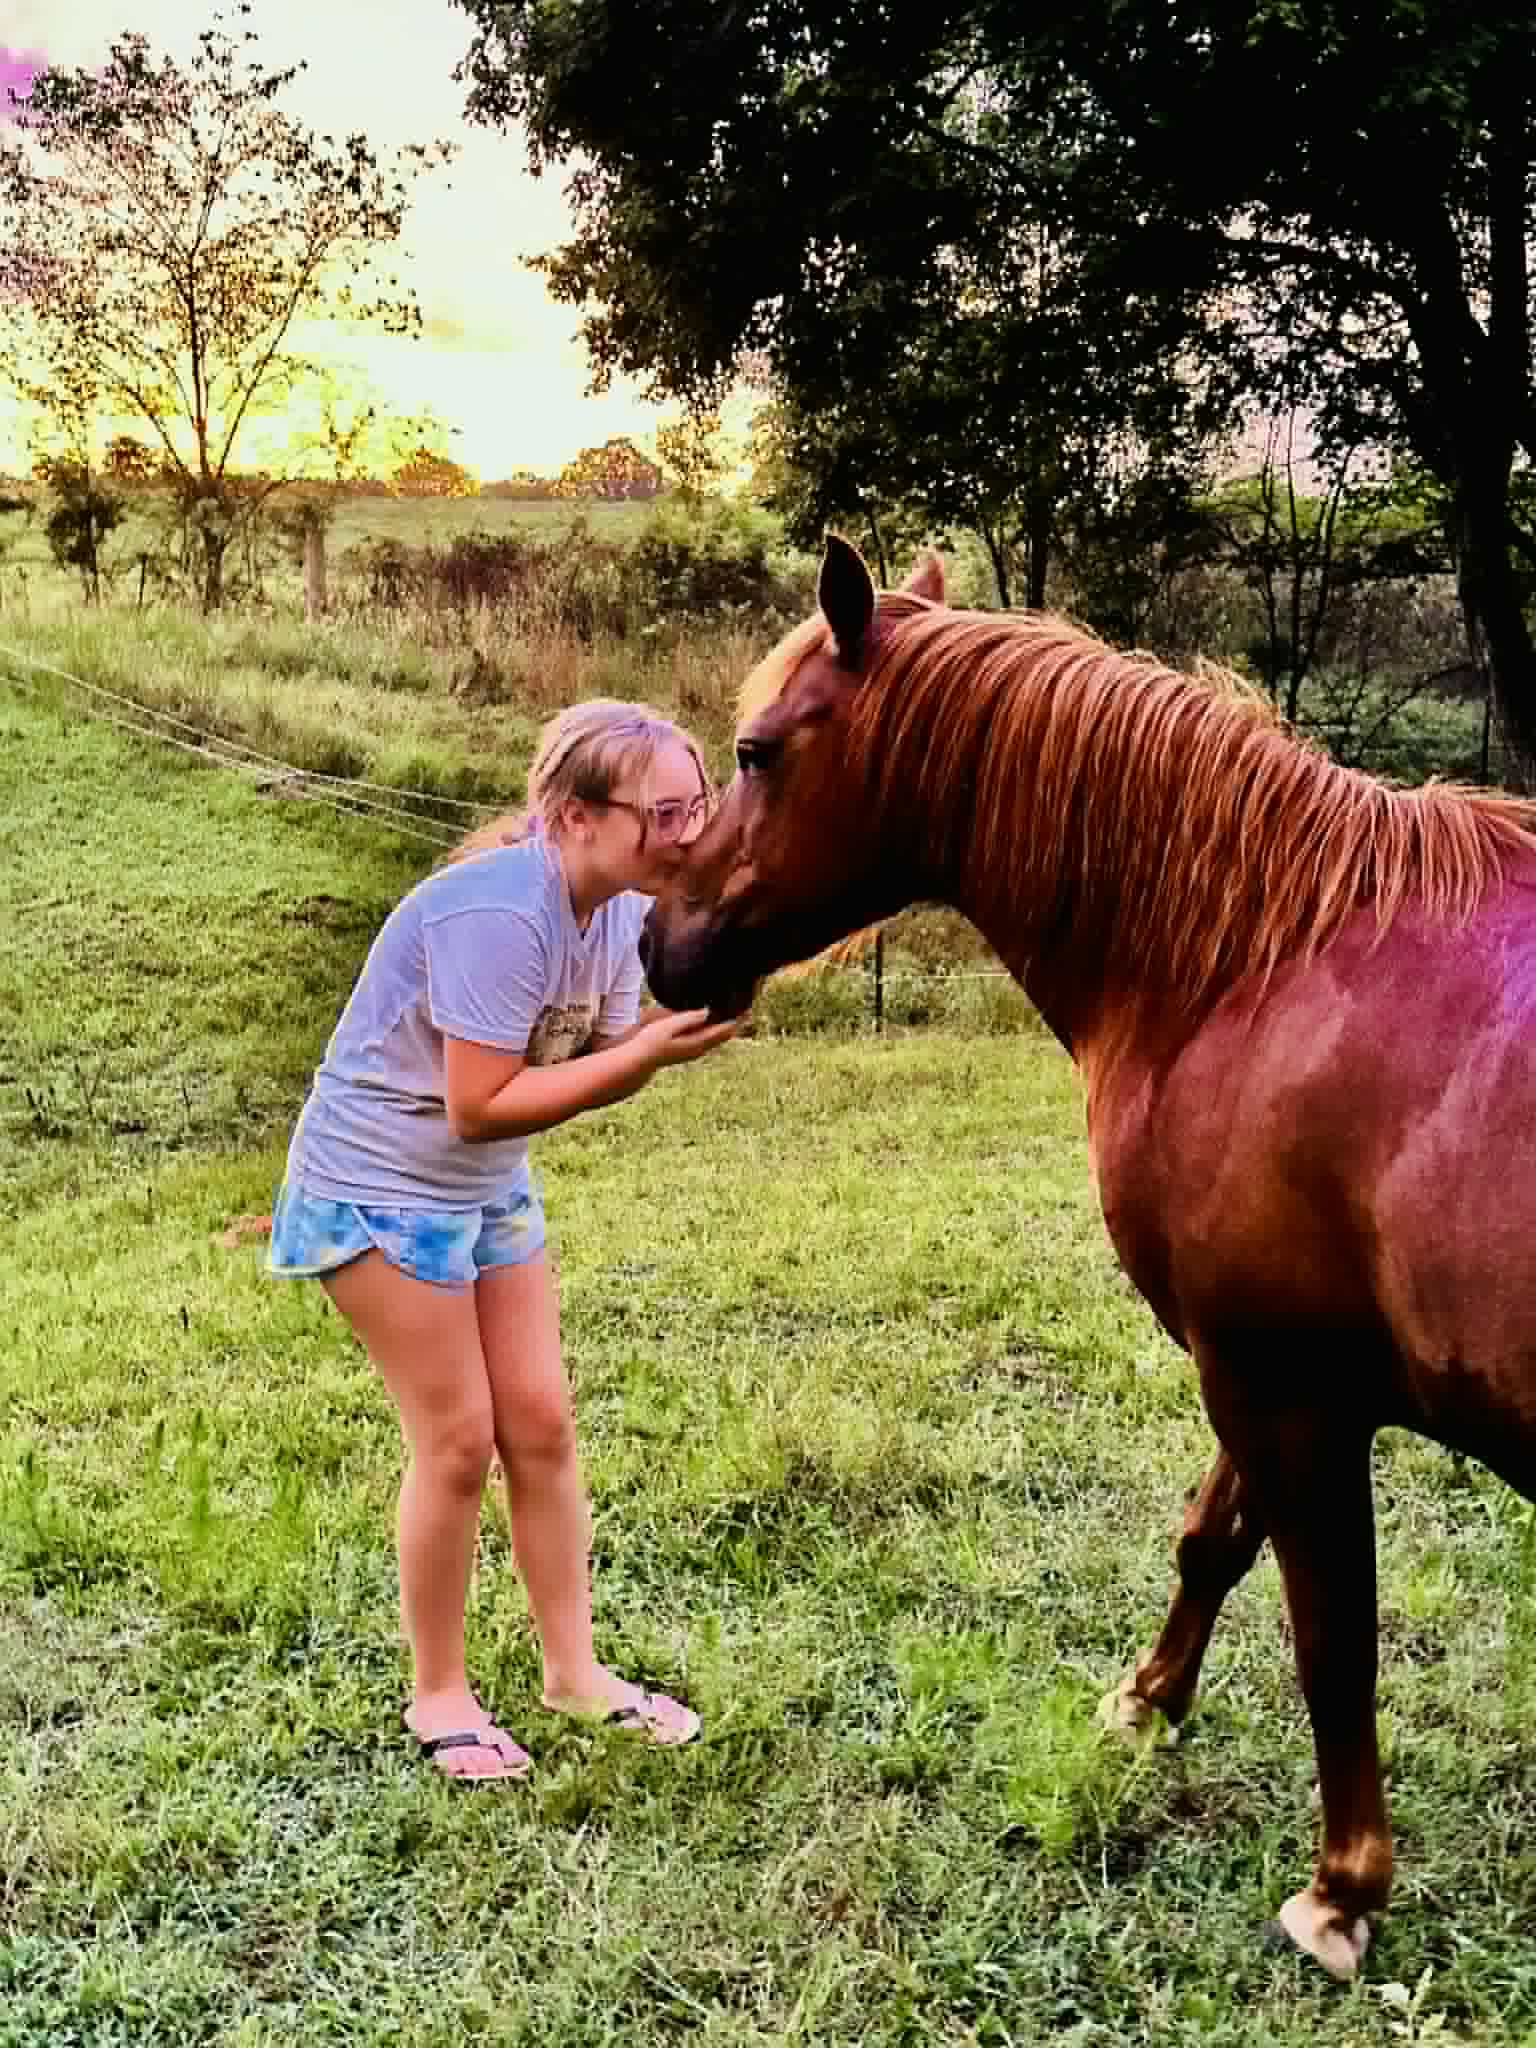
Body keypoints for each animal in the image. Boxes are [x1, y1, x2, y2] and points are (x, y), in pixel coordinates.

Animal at [639, 534, 1536, 1981]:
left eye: (759, 750)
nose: (661, 948)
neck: (1255, 966)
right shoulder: (1263, 1371)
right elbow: (1211, 1544)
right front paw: (1149, 1700)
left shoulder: (1285, 1388)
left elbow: (1332, 1635)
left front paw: (1342, 1890)